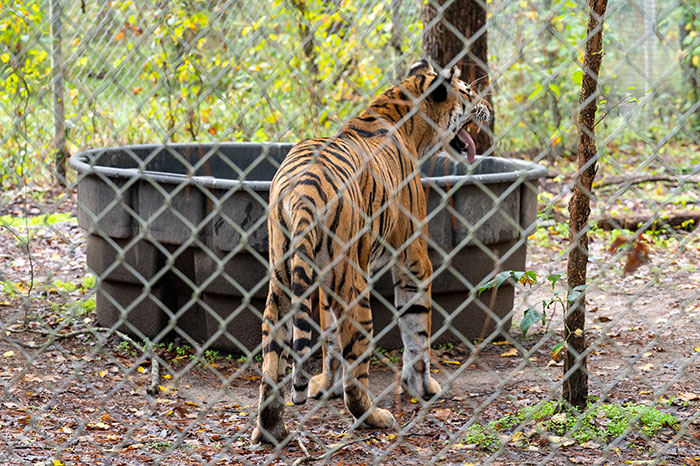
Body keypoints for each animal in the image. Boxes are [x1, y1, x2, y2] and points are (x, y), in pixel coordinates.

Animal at [253, 59, 492, 444]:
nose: (487, 107)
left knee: (272, 364)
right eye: (469, 91)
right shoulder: (413, 258)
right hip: (355, 288)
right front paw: (422, 386)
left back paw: (271, 428)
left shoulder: (325, 283)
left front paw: (325, 384)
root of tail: (302, 192)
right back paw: (375, 416)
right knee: (357, 370)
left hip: (282, 285)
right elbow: (417, 329)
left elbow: (329, 340)